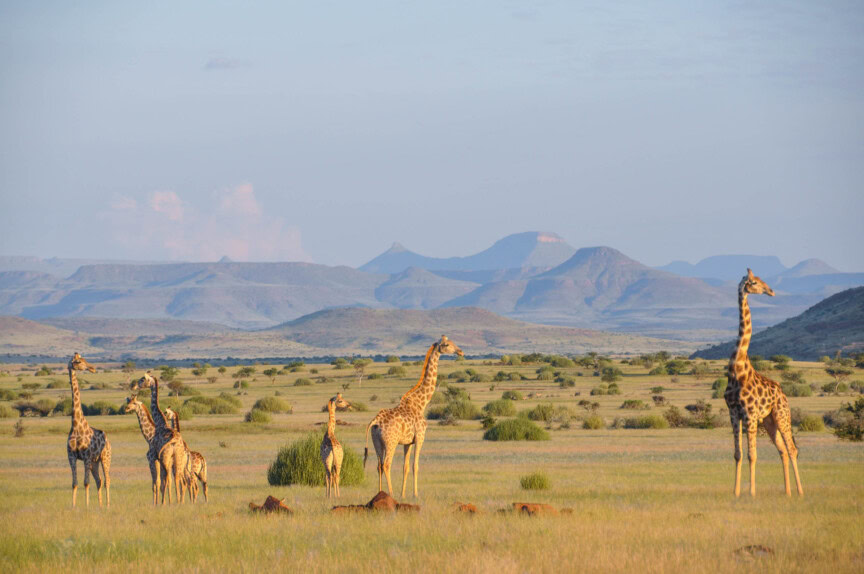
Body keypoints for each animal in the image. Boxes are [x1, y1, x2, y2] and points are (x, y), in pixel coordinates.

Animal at [66, 353, 111, 508]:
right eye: (79, 362)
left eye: (84, 359)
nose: (92, 368)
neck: (76, 426)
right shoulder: (71, 456)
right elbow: (74, 483)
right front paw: (73, 506)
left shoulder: (85, 456)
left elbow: (86, 483)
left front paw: (86, 506)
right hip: (94, 462)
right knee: (99, 480)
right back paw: (100, 505)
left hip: (105, 458)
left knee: (107, 480)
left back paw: (107, 505)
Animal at [133, 372, 190, 504]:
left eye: (142, 379)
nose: (134, 386)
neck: (160, 423)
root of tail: (175, 441)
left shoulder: (157, 457)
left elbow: (161, 481)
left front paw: (162, 502)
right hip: (177, 458)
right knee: (178, 478)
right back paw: (178, 502)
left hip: (166, 458)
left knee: (170, 478)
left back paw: (170, 502)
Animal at [364, 335, 463, 498]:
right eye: (446, 344)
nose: (460, 351)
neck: (420, 403)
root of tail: (375, 421)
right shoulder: (420, 437)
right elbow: (415, 465)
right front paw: (415, 494)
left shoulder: (407, 442)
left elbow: (405, 467)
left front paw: (403, 494)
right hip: (391, 442)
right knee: (386, 464)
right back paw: (390, 493)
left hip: (376, 442)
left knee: (378, 465)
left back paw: (380, 494)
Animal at [725, 269, 803, 497]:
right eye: (754, 282)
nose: (771, 291)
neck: (737, 369)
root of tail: (783, 394)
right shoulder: (734, 413)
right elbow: (738, 454)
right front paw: (736, 493)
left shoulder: (750, 414)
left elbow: (753, 455)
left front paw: (751, 493)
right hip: (769, 421)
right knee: (782, 450)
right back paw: (787, 492)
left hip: (782, 415)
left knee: (792, 449)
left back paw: (800, 492)